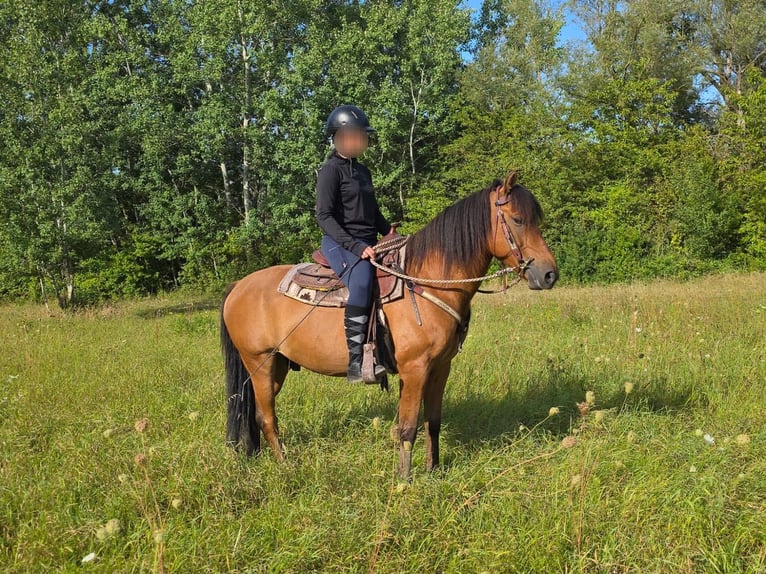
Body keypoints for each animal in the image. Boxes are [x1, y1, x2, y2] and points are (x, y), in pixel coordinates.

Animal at [220, 171, 558, 479]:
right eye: (517, 219)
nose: (549, 274)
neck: (426, 282)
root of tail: (238, 287)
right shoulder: (415, 368)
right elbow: (407, 427)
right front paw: (404, 481)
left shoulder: (440, 367)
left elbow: (431, 421)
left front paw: (433, 470)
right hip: (259, 361)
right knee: (266, 416)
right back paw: (284, 464)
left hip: (275, 366)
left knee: (254, 410)